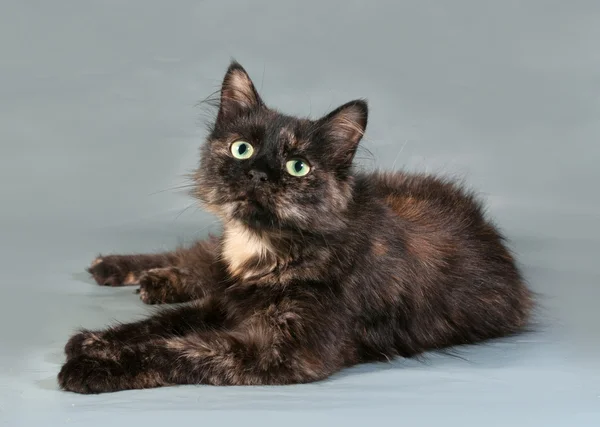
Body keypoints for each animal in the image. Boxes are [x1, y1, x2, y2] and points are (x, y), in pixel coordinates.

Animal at [58, 60, 532, 394]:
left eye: (297, 166)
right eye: (242, 149)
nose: (259, 174)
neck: (261, 247)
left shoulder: (279, 349)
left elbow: (179, 348)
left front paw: (91, 364)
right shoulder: (227, 303)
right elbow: (160, 325)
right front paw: (96, 340)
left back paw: (155, 282)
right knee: (194, 258)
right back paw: (119, 268)